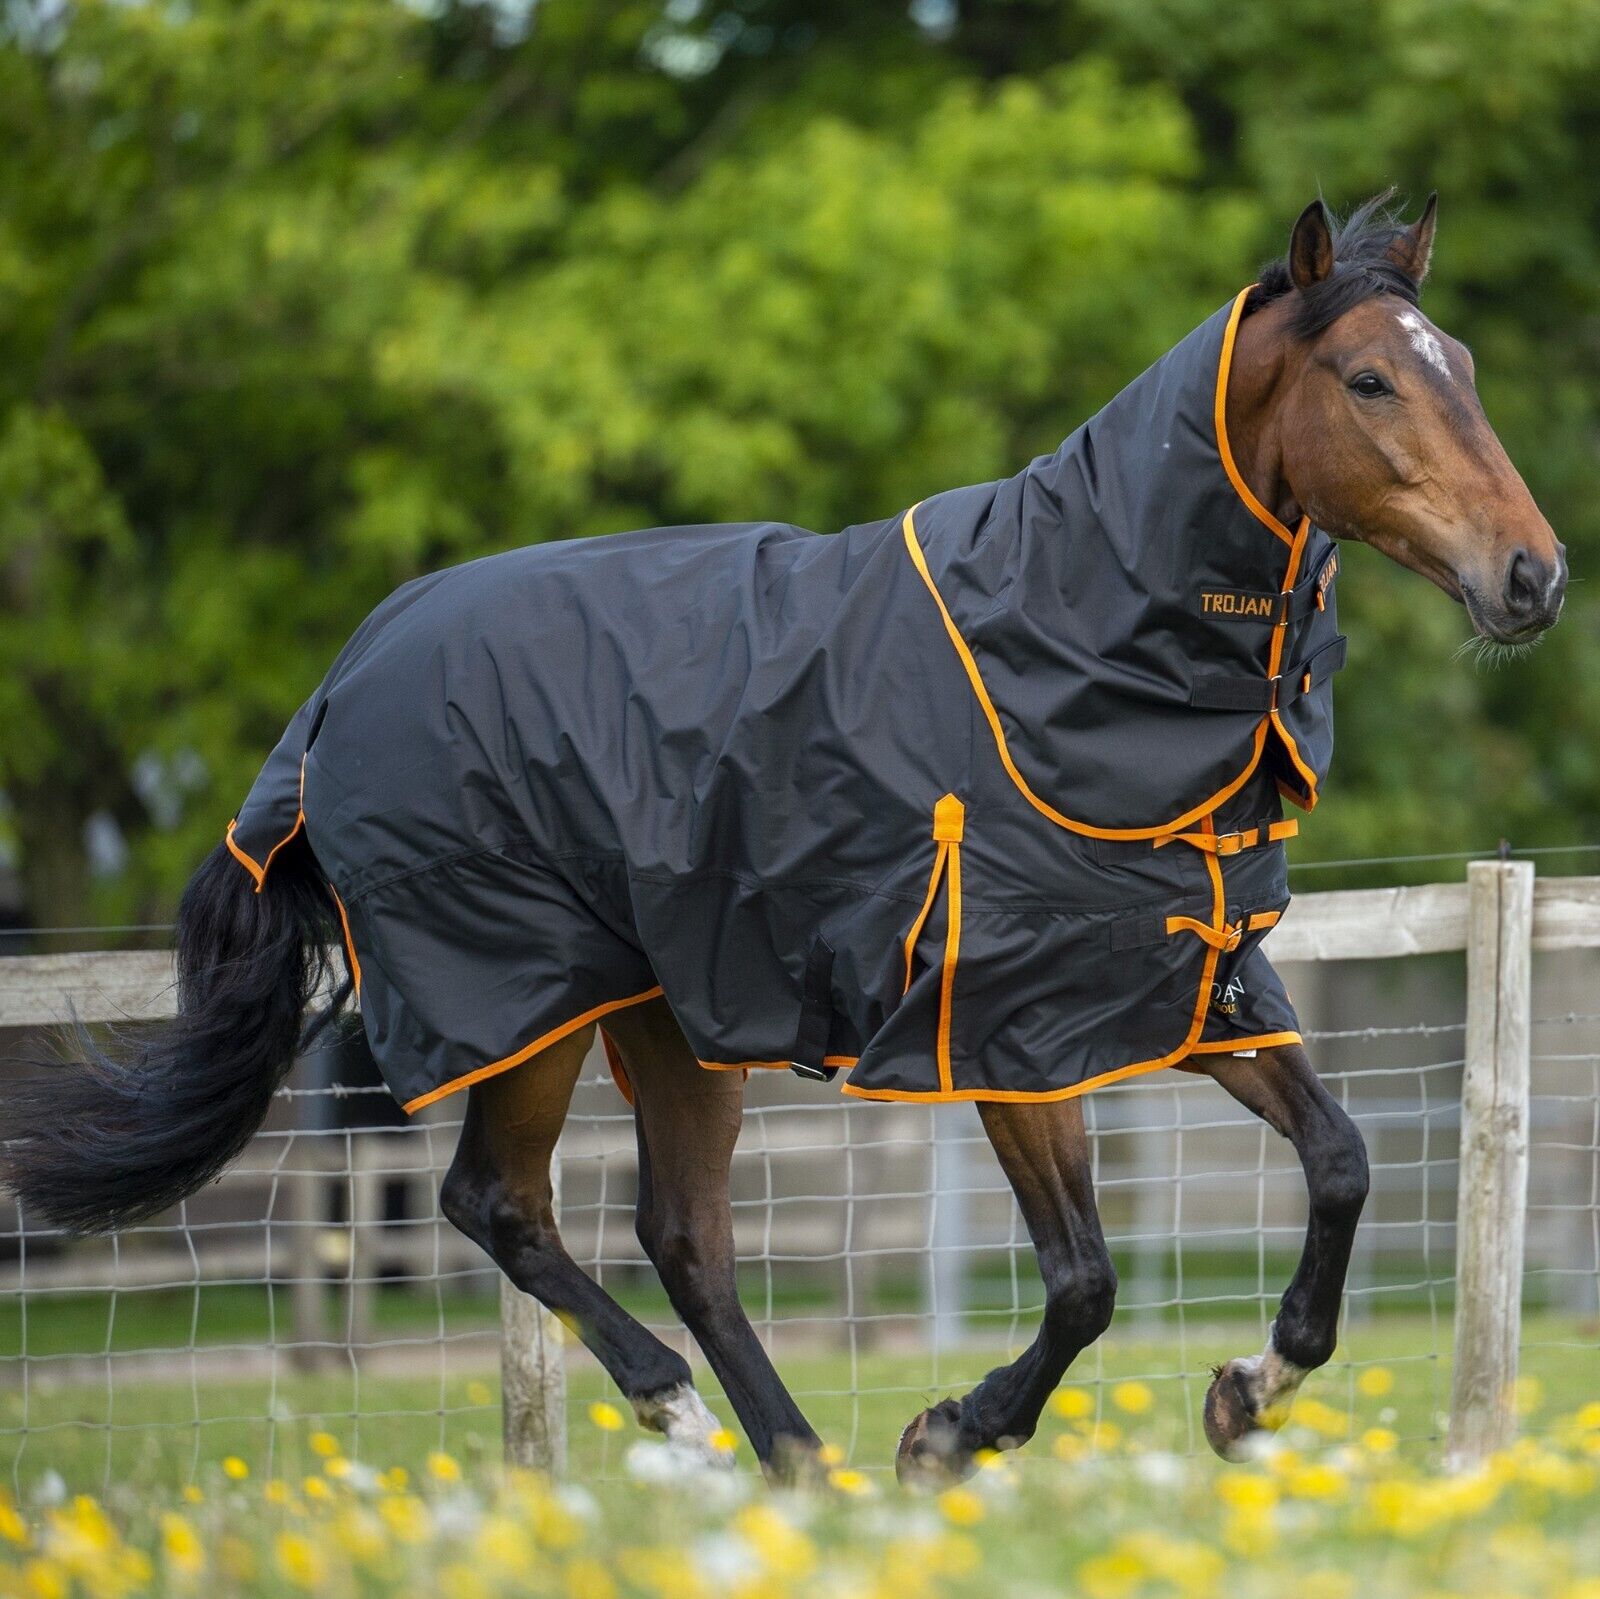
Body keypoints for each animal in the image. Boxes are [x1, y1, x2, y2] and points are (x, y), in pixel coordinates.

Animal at [2, 193, 1565, 1487]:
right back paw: (690, 1417)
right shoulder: (1007, 1028)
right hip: (529, 1001)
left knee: (680, 1234)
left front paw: (1251, 1387)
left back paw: (796, 1457)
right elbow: (1083, 1280)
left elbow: (1344, 1160)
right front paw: (950, 1433)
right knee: (498, 1202)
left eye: (1466, 366)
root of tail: (342, 682)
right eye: (1369, 379)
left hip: (667, 1012)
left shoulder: (1187, 985)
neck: (1071, 643)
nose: (1532, 577)